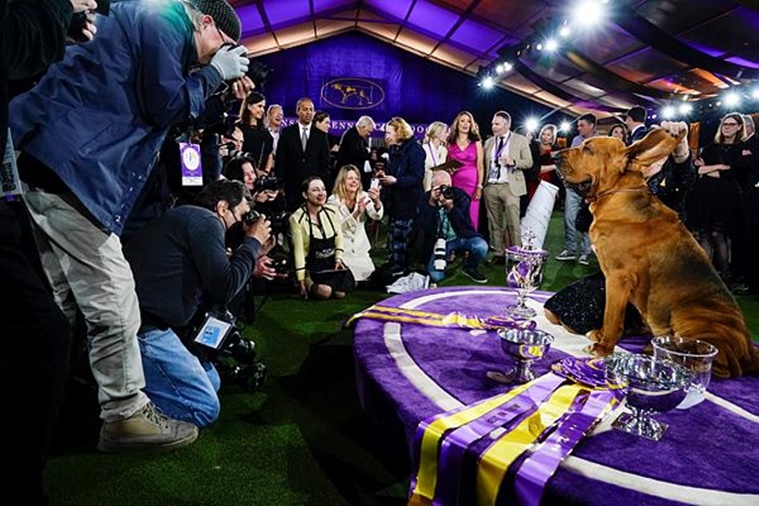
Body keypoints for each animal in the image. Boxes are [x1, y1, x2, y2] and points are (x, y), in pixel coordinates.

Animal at [552, 125, 759, 380]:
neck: (618, 195)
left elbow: (612, 316)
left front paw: (603, 346)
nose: (554, 156)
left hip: (687, 313)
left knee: (718, 366)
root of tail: (749, 350)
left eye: (588, 149)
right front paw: (600, 335)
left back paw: (662, 351)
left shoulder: (618, 278)